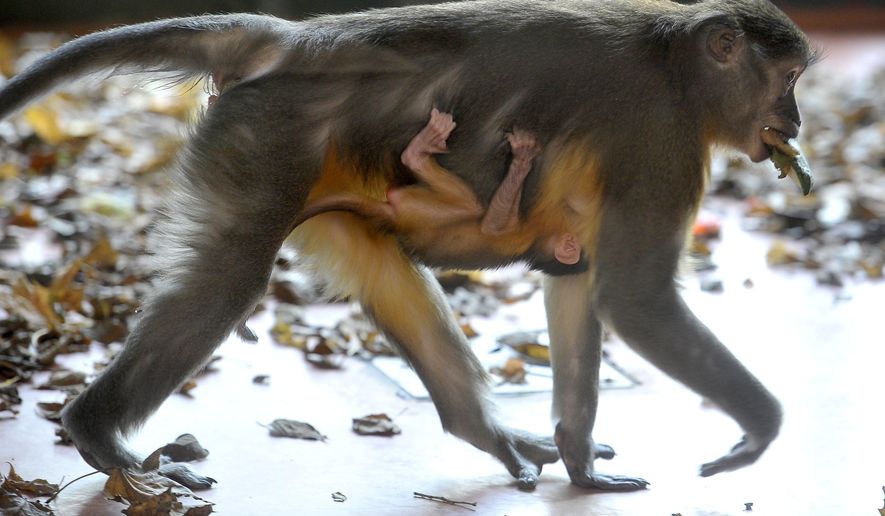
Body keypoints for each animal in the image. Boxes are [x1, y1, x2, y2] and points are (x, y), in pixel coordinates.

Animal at [294, 107, 586, 271]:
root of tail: (393, 219)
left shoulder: (526, 235)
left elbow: (493, 226)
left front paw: (523, 158)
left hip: (422, 210)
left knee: (471, 206)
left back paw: (418, 151)